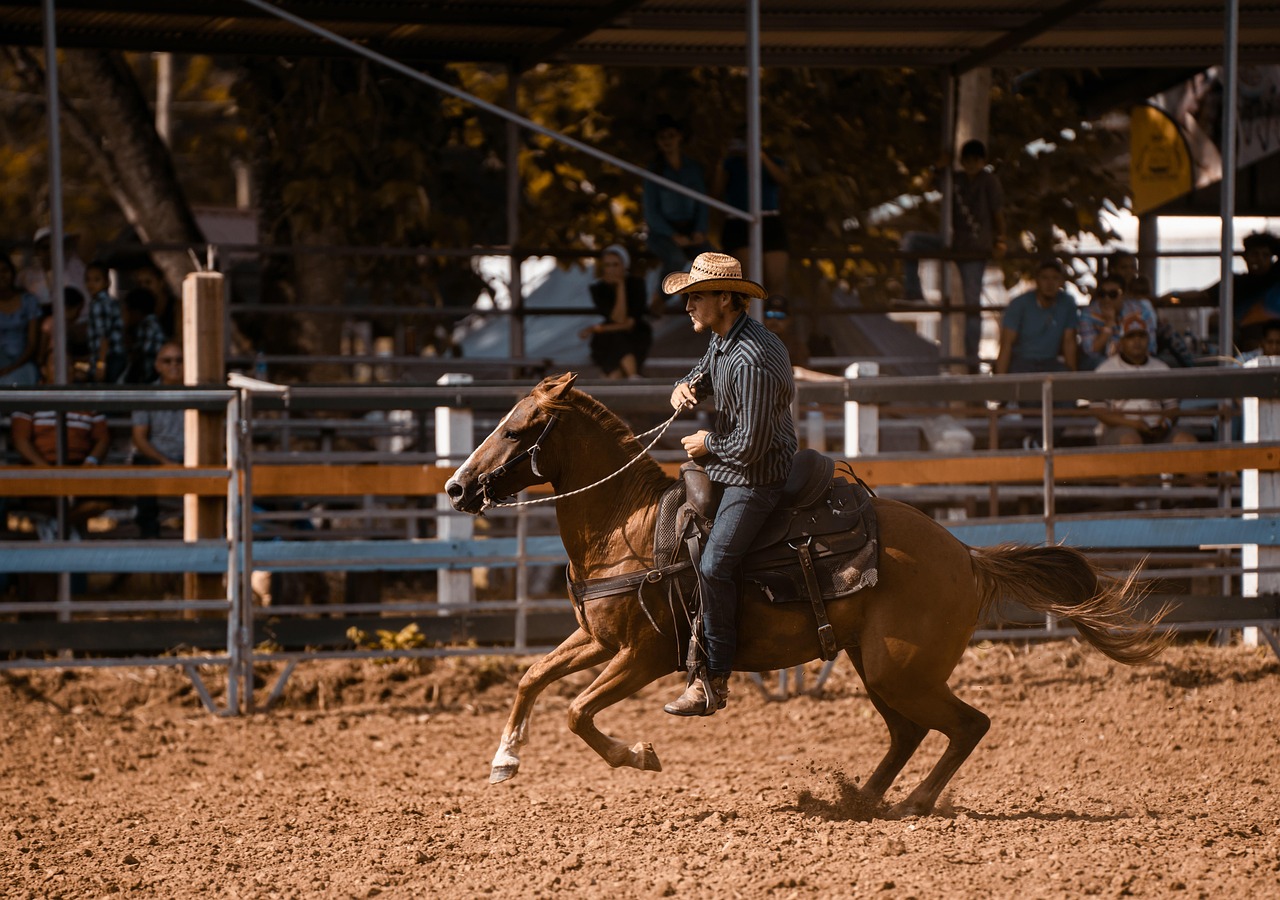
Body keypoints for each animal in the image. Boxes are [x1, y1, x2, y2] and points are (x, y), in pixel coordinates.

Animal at [444, 372, 1169, 816]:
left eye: (516, 429)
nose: (455, 488)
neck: (631, 522)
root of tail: (965, 554)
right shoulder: (598, 638)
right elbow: (533, 679)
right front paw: (505, 759)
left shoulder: (641, 656)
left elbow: (577, 711)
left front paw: (639, 754)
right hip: (878, 666)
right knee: (910, 732)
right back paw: (863, 800)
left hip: (899, 670)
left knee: (967, 724)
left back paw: (912, 803)